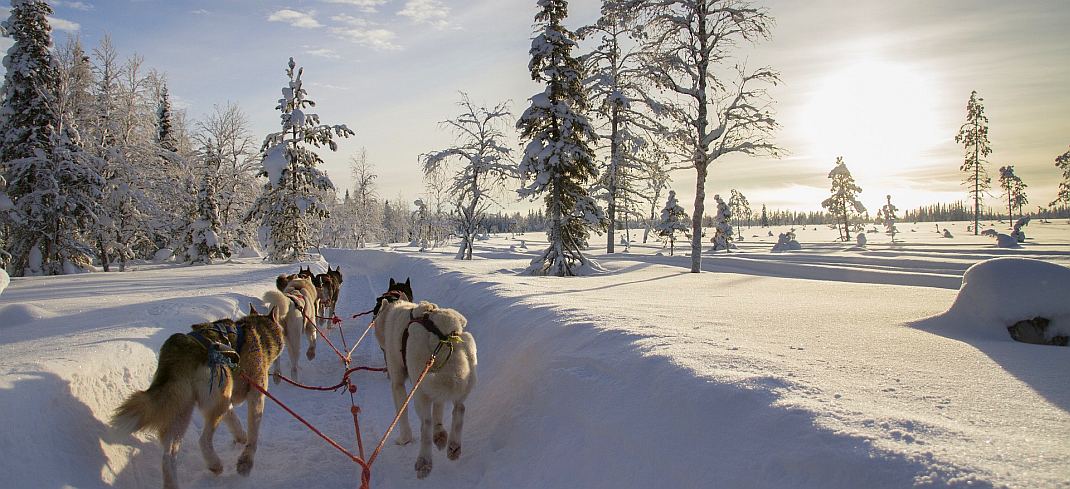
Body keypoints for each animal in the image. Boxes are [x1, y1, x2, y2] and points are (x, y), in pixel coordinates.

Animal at [110, 301, 284, 487]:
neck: (258, 333)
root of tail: (182, 352)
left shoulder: (227, 401)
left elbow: (235, 422)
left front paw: (240, 437)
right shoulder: (255, 395)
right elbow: (253, 435)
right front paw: (246, 462)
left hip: (182, 412)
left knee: (168, 456)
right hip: (216, 402)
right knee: (203, 440)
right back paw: (215, 464)